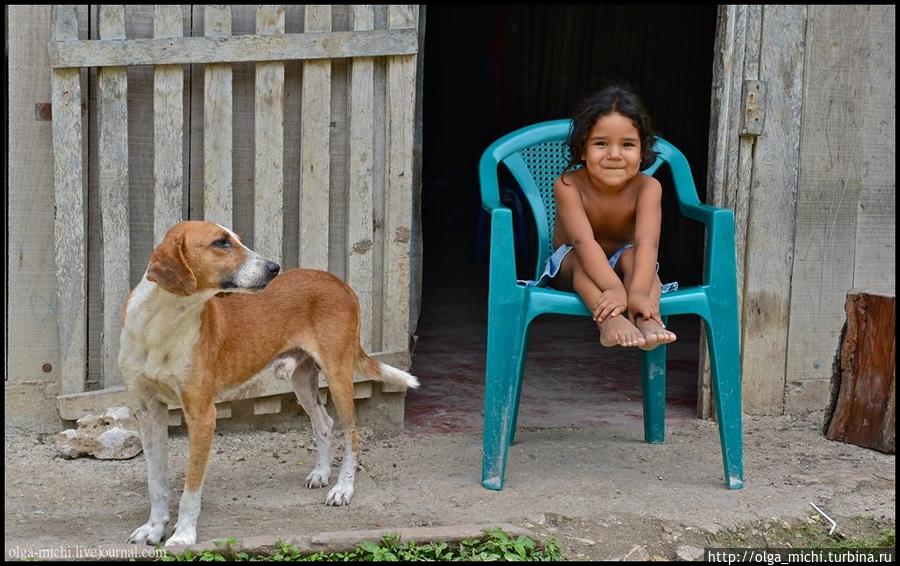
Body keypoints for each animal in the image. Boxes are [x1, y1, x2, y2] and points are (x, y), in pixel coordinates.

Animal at [118, 220, 422, 548]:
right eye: (221, 242)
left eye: (237, 239)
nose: (274, 267)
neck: (163, 323)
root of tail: (339, 282)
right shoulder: (148, 412)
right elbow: (156, 482)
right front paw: (154, 528)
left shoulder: (202, 415)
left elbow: (191, 488)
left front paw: (183, 536)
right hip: (301, 379)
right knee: (323, 422)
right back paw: (321, 473)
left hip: (338, 373)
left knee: (352, 433)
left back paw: (343, 489)